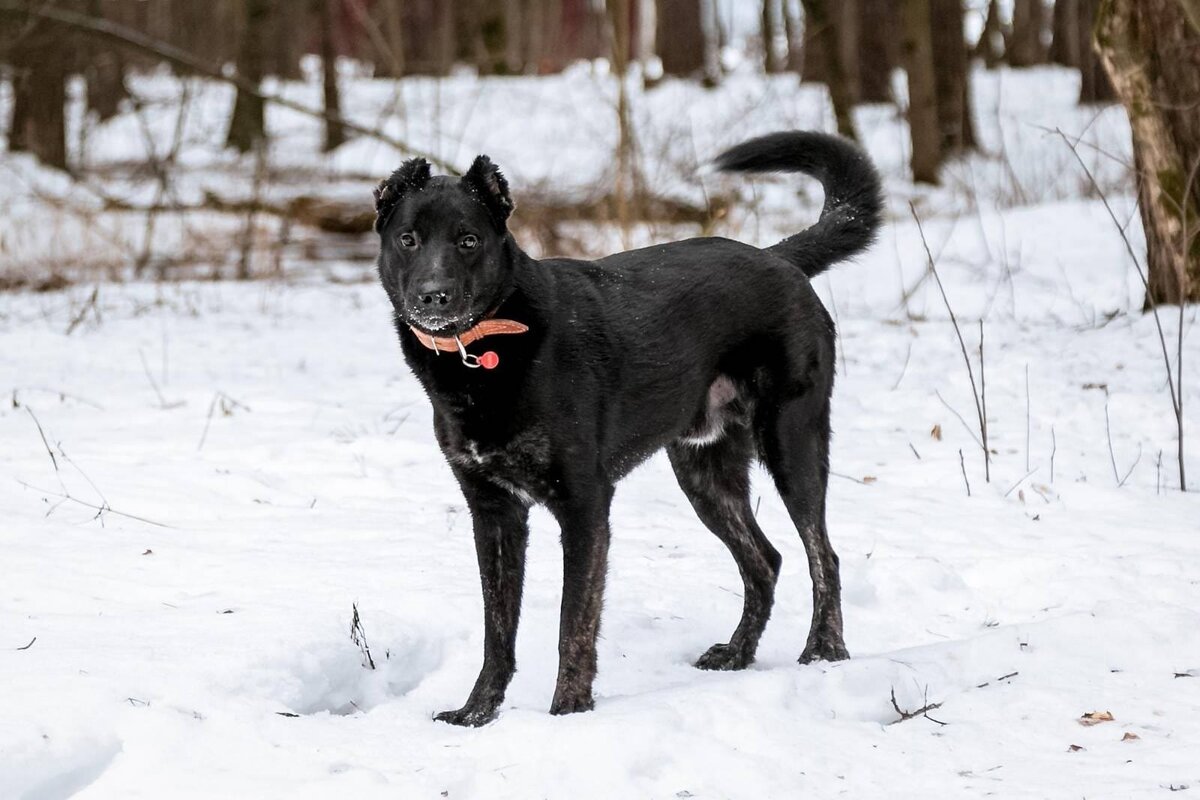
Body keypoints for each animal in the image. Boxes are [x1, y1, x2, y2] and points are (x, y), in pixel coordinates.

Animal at [372, 131, 883, 724]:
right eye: (408, 239)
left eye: (469, 240)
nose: (433, 296)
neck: (484, 351)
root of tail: (778, 258)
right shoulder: (494, 513)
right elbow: (497, 633)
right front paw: (477, 714)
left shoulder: (585, 506)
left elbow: (573, 623)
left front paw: (569, 709)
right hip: (704, 474)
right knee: (766, 560)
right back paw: (737, 653)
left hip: (792, 444)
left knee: (823, 555)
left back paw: (825, 649)